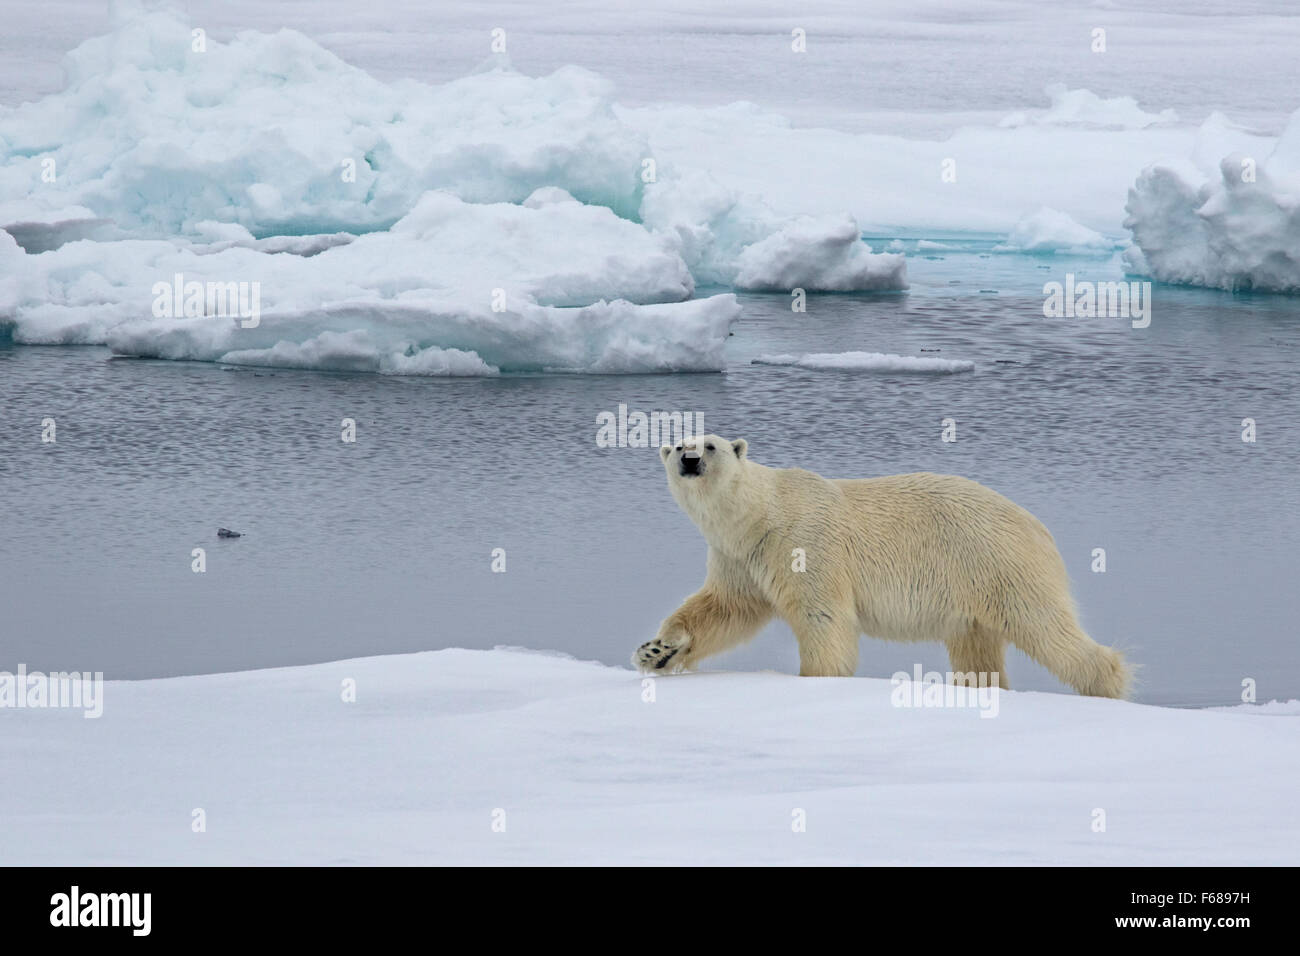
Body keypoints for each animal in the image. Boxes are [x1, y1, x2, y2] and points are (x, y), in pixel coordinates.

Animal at [634, 437, 1133, 697]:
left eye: (710, 445)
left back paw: (1108, 683)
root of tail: (1038, 526)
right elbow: (723, 609)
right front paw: (657, 651)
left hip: (998, 564)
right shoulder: (740, 557)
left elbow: (823, 616)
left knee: (1045, 628)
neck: (760, 515)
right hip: (973, 593)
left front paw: (815, 679)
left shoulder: (803, 544)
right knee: (977, 649)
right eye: (678, 442)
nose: (689, 458)